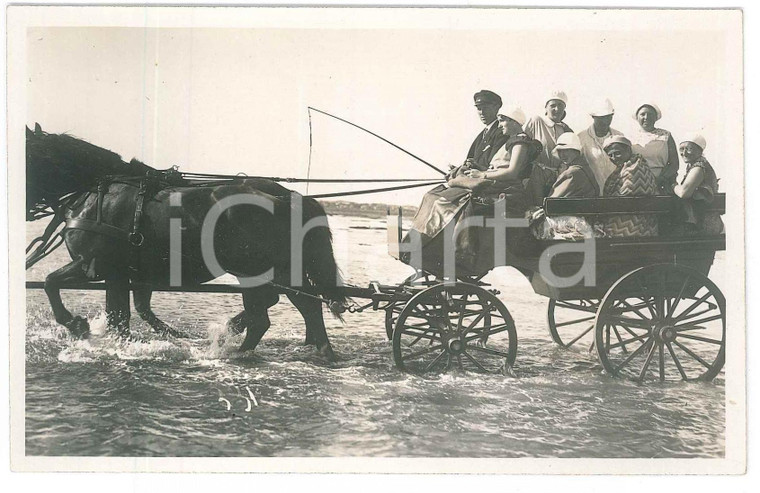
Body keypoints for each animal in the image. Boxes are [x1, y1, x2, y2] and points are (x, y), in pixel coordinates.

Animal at [26, 125, 346, 360]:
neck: (100, 195)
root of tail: (288, 198)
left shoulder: (93, 266)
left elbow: (51, 282)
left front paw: (77, 325)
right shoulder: (121, 274)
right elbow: (123, 315)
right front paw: (124, 343)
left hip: (259, 271)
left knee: (279, 311)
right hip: (278, 270)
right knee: (292, 308)